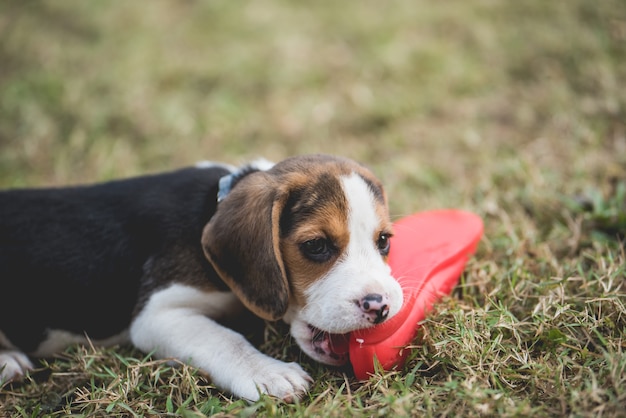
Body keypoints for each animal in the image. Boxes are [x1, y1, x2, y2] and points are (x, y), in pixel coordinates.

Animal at [0, 154, 400, 402]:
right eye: (316, 246)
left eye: (383, 241)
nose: (379, 306)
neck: (214, 205)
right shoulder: (158, 315)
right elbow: (225, 340)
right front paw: (269, 373)